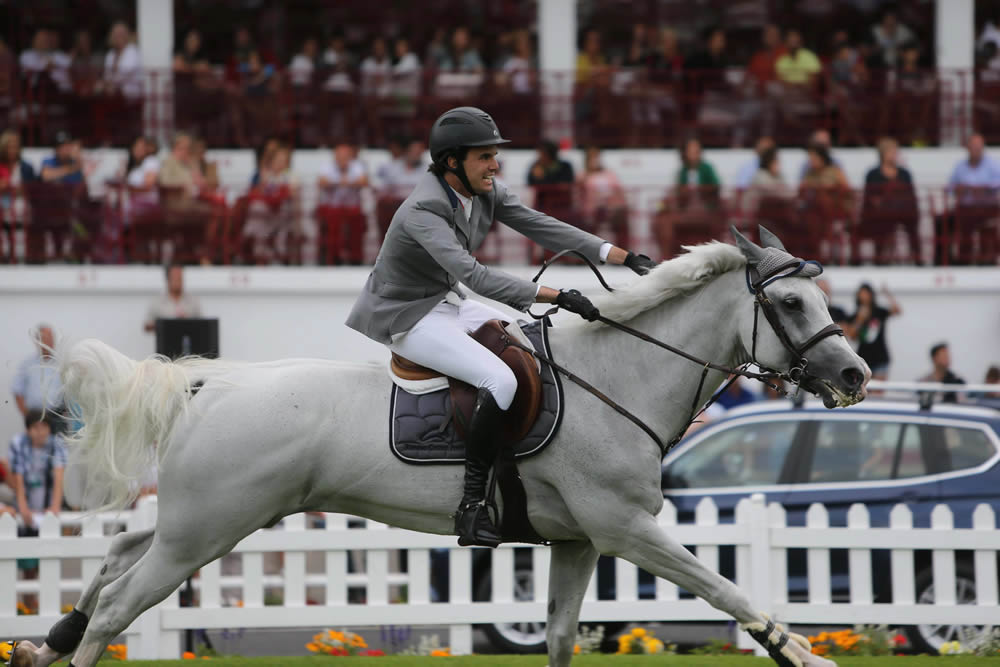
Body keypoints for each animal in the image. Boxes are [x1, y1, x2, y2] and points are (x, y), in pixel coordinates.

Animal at [11, 231, 864, 667]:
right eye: (792, 302)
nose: (855, 373)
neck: (619, 371)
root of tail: (205, 384)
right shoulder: (628, 529)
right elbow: (730, 591)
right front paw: (802, 653)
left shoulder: (580, 540)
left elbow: (560, 637)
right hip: (206, 530)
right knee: (120, 603)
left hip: (201, 521)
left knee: (117, 552)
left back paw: (46, 642)